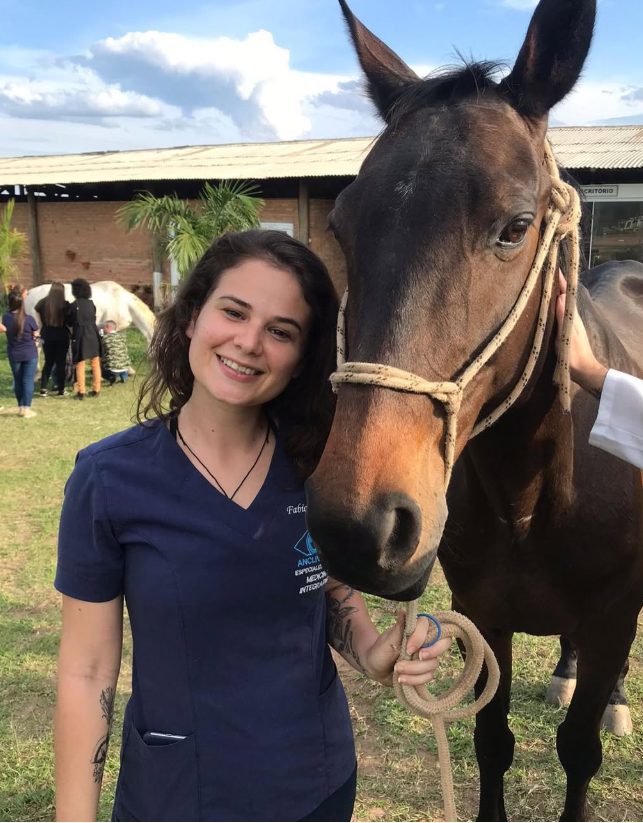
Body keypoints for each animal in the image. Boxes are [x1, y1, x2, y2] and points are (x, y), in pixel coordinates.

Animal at [305, 1, 643, 821]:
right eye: (342, 228)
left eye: (514, 227)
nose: (356, 524)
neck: (535, 495)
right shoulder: (481, 613)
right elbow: (492, 740)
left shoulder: (615, 614)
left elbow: (577, 750)